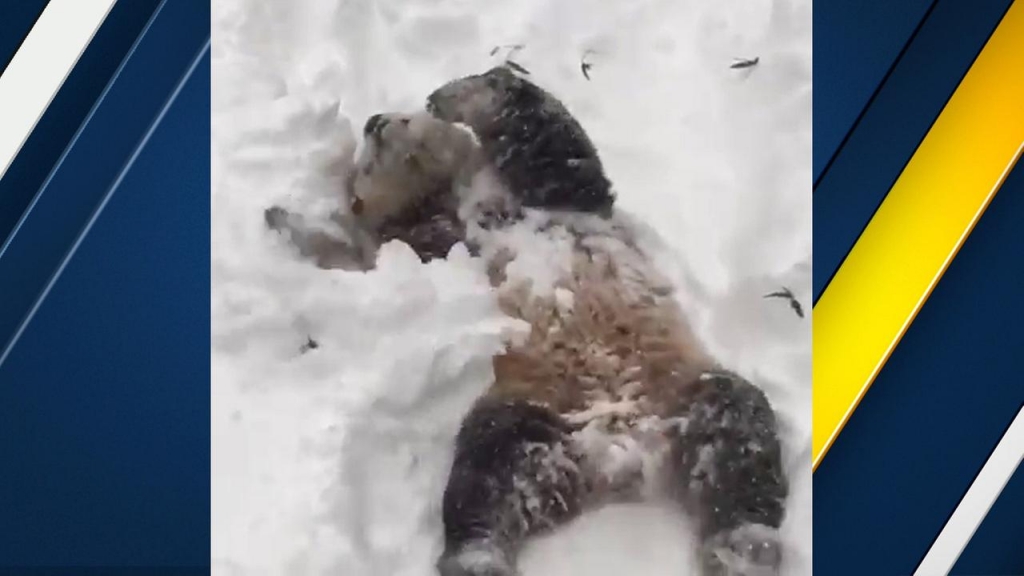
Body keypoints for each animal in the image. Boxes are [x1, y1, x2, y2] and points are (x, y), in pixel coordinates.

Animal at [264, 63, 782, 573]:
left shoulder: (559, 200)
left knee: (738, 439)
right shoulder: (424, 244)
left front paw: (456, 93)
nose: (375, 122)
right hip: (529, 412)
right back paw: (478, 557)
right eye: (365, 165)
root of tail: (620, 457)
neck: (452, 200)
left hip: (680, 388)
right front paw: (288, 221)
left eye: (403, 118)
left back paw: (743, 550)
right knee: (487, 480)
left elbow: (557, 147)